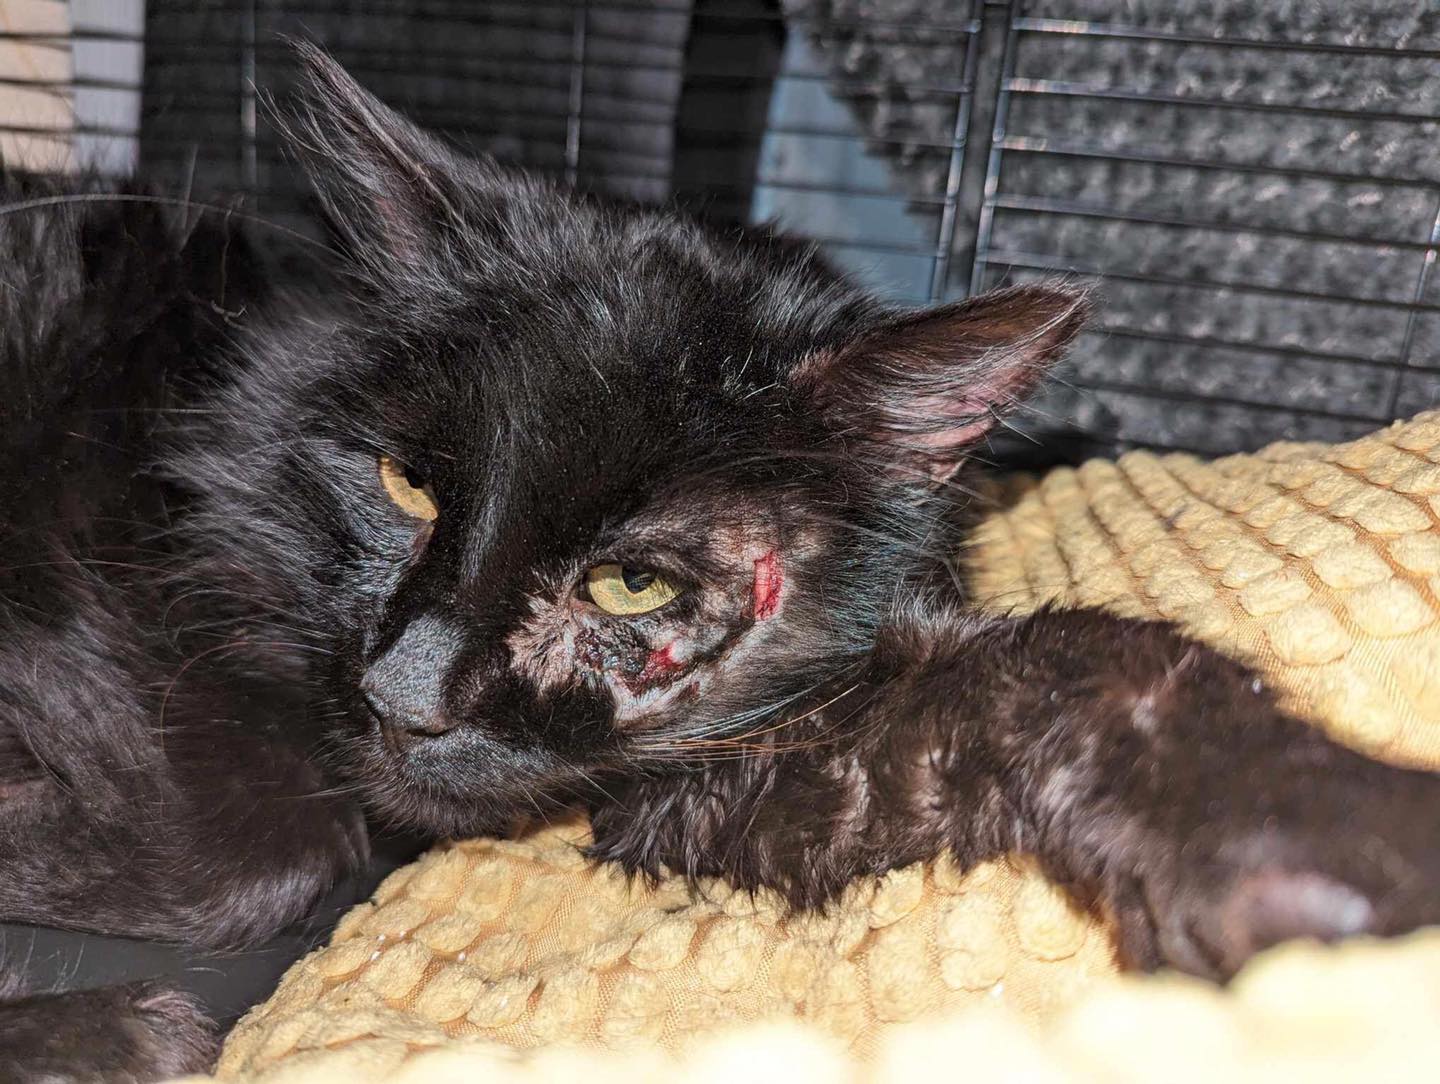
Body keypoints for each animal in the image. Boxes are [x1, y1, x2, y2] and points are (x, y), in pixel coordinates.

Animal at [2, 45, 1440, 1081]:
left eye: (632, 586)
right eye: (405, 485)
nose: (403, 695)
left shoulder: (740, 755)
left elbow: (1043, 682)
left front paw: (1310, 848)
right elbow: (259, 850)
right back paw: (122, 1029)